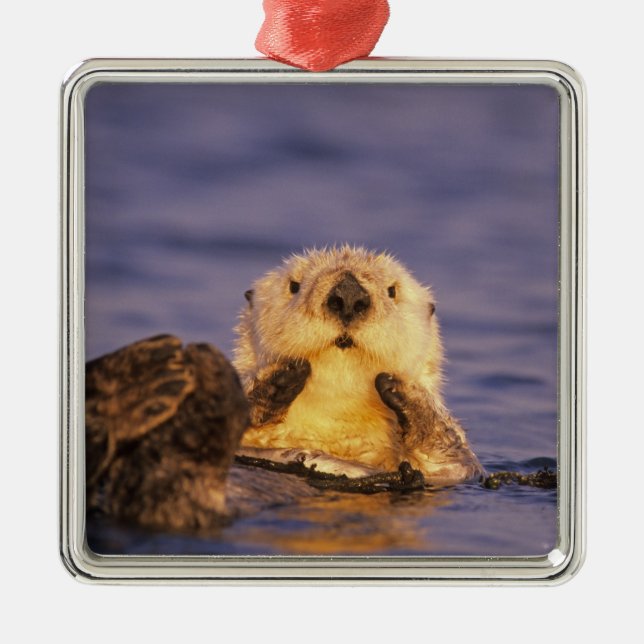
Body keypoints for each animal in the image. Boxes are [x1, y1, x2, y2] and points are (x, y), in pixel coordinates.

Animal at [234, 246, 483, 485]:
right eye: (294, 286)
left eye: (392, 291)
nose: (348, 294)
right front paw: (278, 379)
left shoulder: (450, 473)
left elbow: (456, 463)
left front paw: (403, 389)